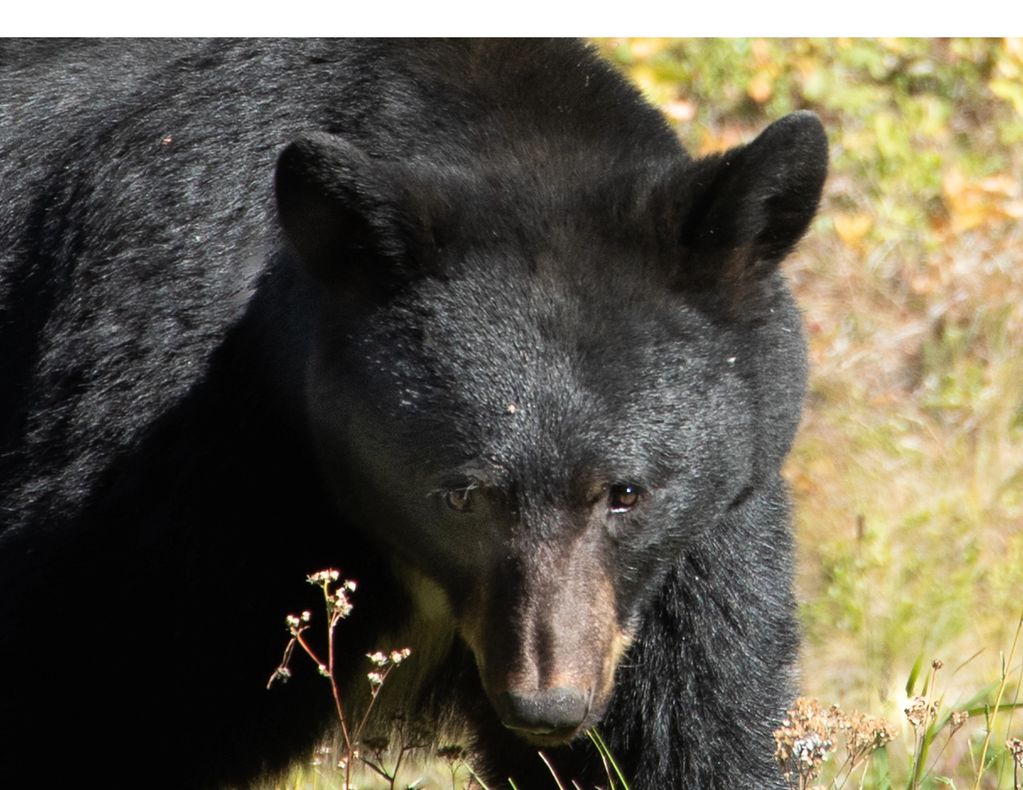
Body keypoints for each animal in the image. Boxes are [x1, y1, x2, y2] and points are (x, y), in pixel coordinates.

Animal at [0, 39, 827, 788]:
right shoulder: (169, 469)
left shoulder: (691, 547)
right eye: (461, 495)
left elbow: (682, 730)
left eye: (625, 493)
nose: (546, 705)